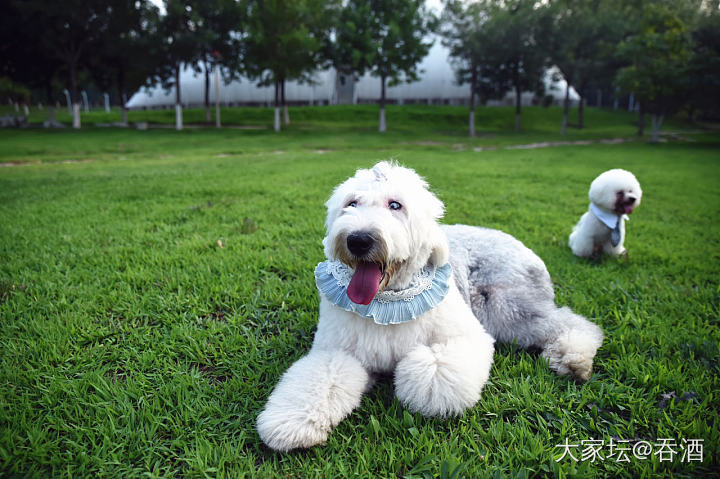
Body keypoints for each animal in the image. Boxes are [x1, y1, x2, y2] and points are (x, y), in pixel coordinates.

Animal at [256, 163, 604, 452]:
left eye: (395, 205)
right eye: (351, 203)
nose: (359, 240)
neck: (387, 303)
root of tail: (517, 241)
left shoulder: (464, 337)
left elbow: (432, 368)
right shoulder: (335, 352)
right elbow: (319, 380)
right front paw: (291, 423)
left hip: (506, 307)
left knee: (569, 322)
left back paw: (573, 357)